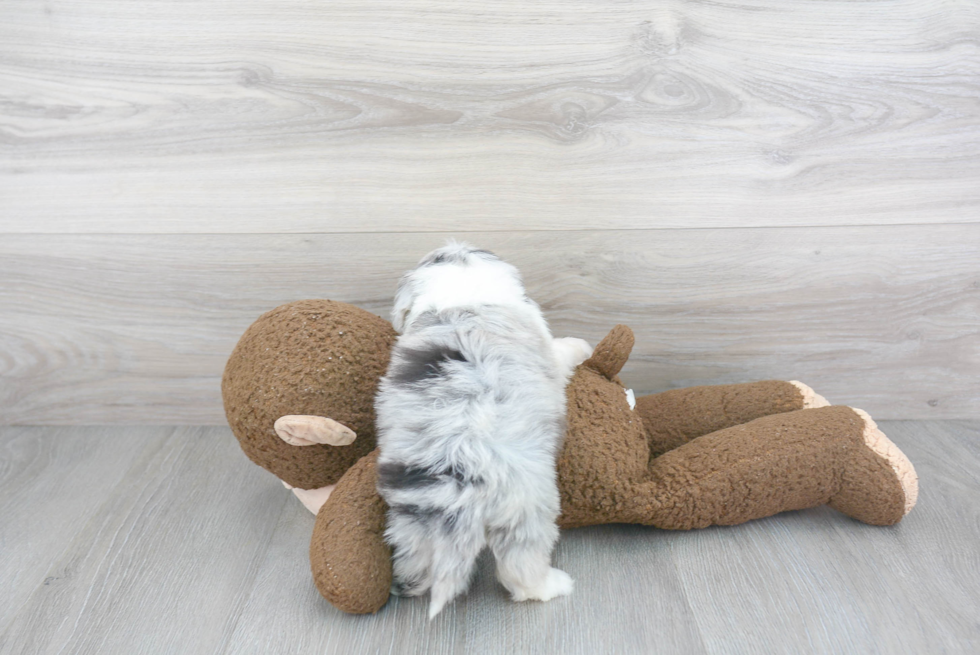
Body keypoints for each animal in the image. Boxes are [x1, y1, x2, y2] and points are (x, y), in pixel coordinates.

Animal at [374, 242, 588, 620]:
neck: (463, 292)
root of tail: (460, 476)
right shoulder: (547, 346)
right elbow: (562, 349)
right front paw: (582, 346)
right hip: (526, 508)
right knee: (520, 565)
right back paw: (552, 585)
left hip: (412, 512)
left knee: (413, 553)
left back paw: (408, 585)